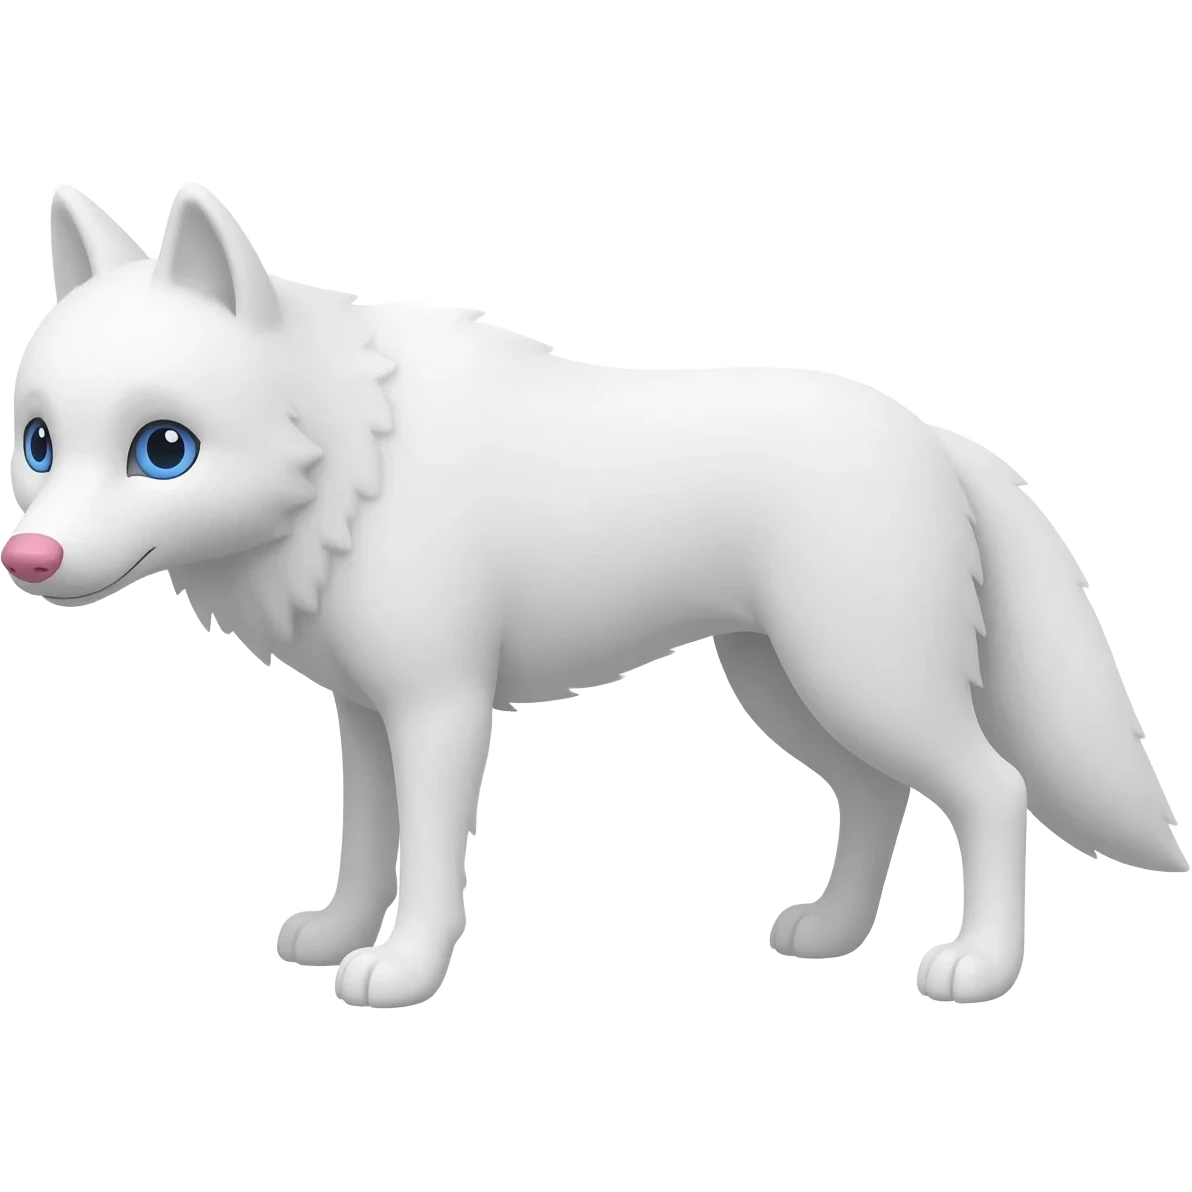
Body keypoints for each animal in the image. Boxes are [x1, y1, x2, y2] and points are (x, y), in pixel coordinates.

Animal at [5, 182, 1185, 1008]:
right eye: (39, 442)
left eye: (164, 448)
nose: (30, 557)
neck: (350, 466)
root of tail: (935, 437)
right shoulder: (365, 715)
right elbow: (367, 844)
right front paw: (338, 935)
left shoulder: (441, 711)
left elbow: (429, 862)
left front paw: (403, 973)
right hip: (790, 689)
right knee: (876, 796)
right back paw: (831, 933)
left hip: (862, 681)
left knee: (992, 791)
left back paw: (976, 968)